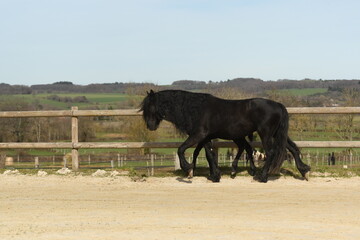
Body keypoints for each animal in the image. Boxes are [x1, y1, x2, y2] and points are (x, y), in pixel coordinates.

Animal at [141, 89, 310, 182]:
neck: (195, 108)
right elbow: (208, 154)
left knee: (271, 152)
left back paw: (262, 177)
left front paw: (188, 169)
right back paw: (304, 170)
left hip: (266, 134)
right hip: (277, 134)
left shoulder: (198, 135)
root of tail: (279, 105)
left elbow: (181, 149)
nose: (150, 126)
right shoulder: (205, 138)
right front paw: (214, 175)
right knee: (293, 148)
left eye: (150, 106)